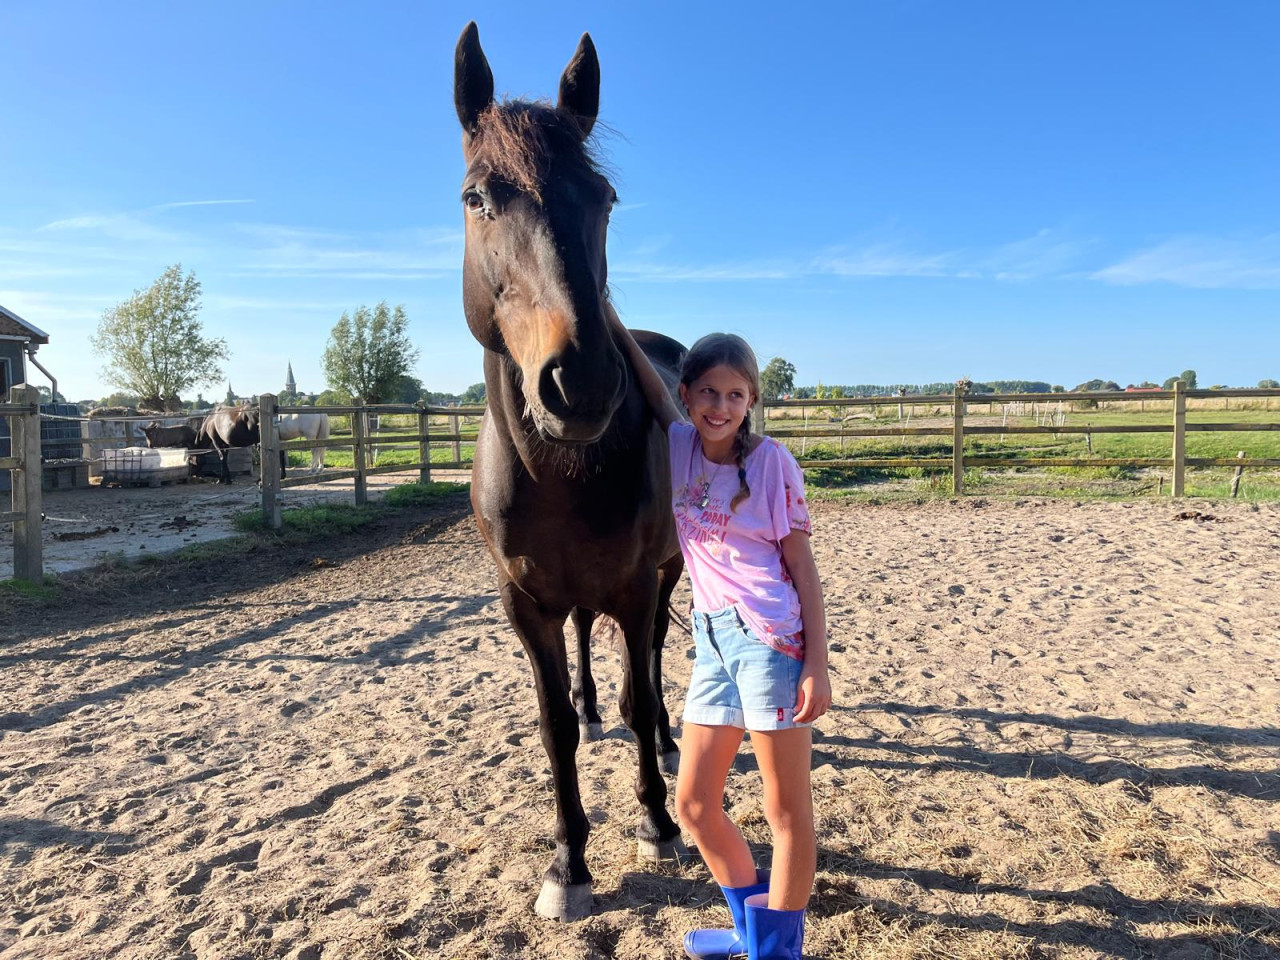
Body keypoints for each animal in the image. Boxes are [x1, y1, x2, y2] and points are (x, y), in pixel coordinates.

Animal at [454, 22, 687, 922]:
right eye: (477, 197)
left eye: (605, 199)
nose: (581, 382)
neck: (558, 473)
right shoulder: (523, 601)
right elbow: (551, 721)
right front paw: (567, 861)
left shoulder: (635, 582)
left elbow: (642, 689)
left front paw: (657, 821)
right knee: (589, 649)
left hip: (667, 572)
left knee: (651, 662)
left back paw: (664, 738)